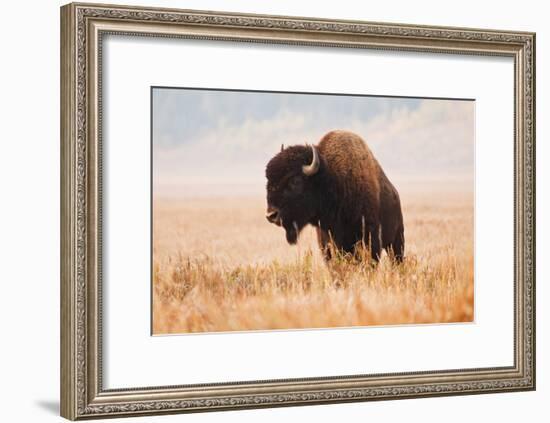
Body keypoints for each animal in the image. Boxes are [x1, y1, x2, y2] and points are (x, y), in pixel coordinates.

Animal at [266, 130, 406, 262]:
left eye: (295, 181)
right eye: (268, 181)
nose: (271, 215)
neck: (334, 180)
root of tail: (395, 194)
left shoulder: (370, 239)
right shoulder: (327, 244)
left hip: (396, 242)